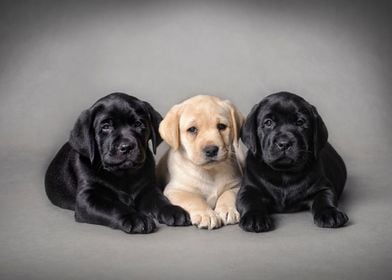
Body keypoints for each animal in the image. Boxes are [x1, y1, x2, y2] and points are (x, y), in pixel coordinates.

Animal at [45, 93, 191, 233]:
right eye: (106, 127)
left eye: (138, 124)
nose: (126, 146)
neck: (123, 175)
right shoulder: (87, 198)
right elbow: (114, 207)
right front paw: (136, 218)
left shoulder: (148, 188)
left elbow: (159, 200)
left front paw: (173, 210)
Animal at [157, 95, 243, 229]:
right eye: (192, 129)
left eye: (221, 126)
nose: (211, 150)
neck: (211, 172)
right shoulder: (176, 190)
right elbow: (194, 199)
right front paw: (206, 214)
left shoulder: (236, 185)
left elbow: (228, 194)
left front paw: (227, 210)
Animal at [236, 92, 350, 232]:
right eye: (268, 123)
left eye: (300, 122)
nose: (284, 143)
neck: (284, 173)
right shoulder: (248, 189)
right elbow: (249, 202)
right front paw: (254, 217)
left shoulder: (323, 187)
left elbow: (325, 198)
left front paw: (330, 212)